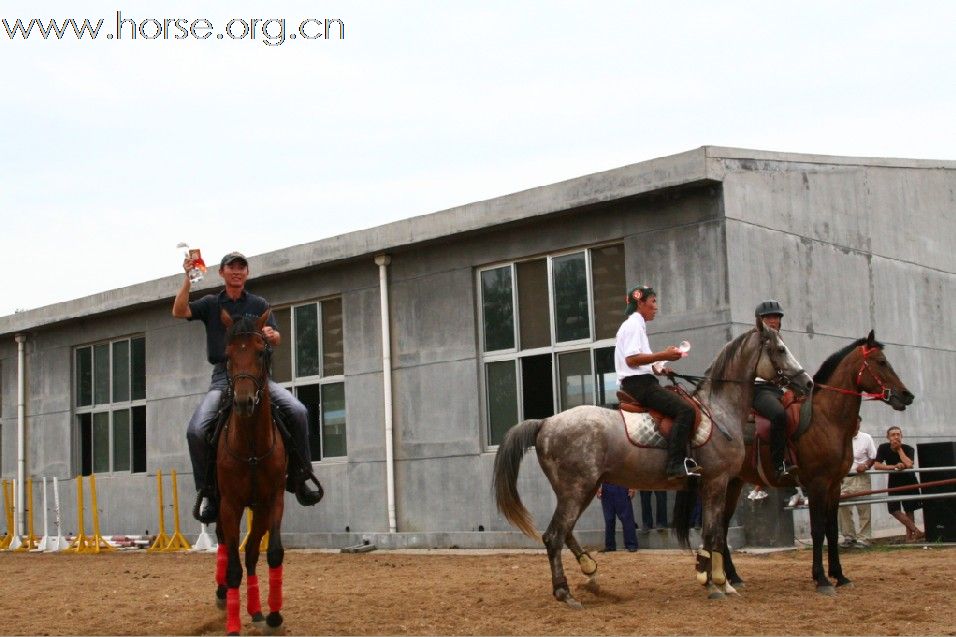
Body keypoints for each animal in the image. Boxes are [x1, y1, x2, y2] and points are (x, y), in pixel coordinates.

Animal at [492, 320, 816, 604]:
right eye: (780, 349)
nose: (808, 382)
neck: (719, 411)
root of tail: (545, 423)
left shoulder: (717, 484)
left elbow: (715, 533)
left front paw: (716, 579)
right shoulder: (717, 481)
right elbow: (713, 533)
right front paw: (714, 583)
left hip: (583, 488)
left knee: (565, 532)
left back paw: (589, 570)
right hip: (577, 489)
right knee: (553, 536)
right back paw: (565, 592)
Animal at [704, 330, 916, 592]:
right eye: (881, 362)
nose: (907, 395)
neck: (826, 419)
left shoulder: (834, 486)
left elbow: (832, 530)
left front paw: (840, 576)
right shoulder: (817, 484)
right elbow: (818, 530)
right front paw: (822, 579)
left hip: (733, 484)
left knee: (721, 527)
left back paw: (732, 577)